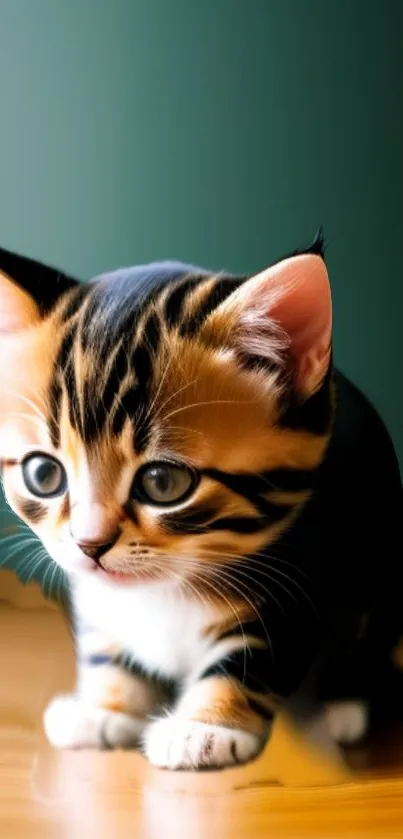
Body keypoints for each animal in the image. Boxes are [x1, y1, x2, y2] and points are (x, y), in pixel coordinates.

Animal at [0, 235, 402, 768]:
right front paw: (106, 708)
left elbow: (254, 656)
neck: (167, 590)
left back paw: (345, 704)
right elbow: (105, 639)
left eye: (162, 482)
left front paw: (206, 726)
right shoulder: (93, 593)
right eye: (44, 474)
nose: (90, 544)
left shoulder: (298, 578)